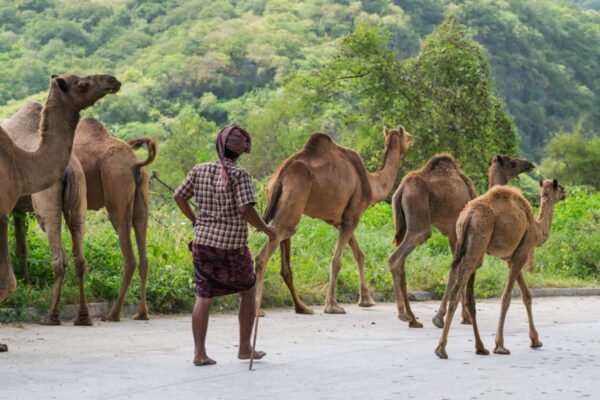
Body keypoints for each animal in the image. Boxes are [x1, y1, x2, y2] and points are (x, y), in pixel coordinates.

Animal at [0, 73, 120, 352]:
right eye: (82, 84)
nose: (112, 80)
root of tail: (70, 169)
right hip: (74, 206)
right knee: (75, 256)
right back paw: (76, 317)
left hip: (55, 207)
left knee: (64, 257)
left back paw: (57, 316)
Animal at [74, 116, 157, 322]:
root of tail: (135, 164)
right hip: (142, 196)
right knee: (143, 256)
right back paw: (141, 313)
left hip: (116, 186)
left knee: (130, 256)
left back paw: (113, 314)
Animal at [253, 126, 412, 314]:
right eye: (407, 135)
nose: (413, 138)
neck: (371, 183)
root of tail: (279, 177)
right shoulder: (353, 215)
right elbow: (337, 260)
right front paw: (333, 306)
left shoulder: (340, 220)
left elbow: (359, 254)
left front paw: (366, 299)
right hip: (292, 204)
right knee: (264, 253)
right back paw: (258, 309)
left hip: (283, 207)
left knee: (284, 258)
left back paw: (302, 307)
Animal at [390, 155, 536, 326]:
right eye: (512, 163)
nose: (528, 164)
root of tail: (401, 188)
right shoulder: (456, 235)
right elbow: (458, 270)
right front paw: (450, 316)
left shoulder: (456, 238)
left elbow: (457, 269)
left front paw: (460, 316)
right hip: (419, 219)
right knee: (396, 258)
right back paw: (402, 314)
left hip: (403, 225)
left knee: (402, 264)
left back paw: (413, 319)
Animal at [434, 180, 564, 358]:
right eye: (560, 188)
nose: (565, 193)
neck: (536, 229)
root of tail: (467, 216)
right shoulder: (522, 253)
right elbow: (506, 298)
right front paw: (500, 345)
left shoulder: (511, 258)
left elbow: (527, 296)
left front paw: (535, 340)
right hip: (478, 242)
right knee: (457, 291)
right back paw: (441, 349)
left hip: (464, 244)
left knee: (457, 276)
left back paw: (479, 347)